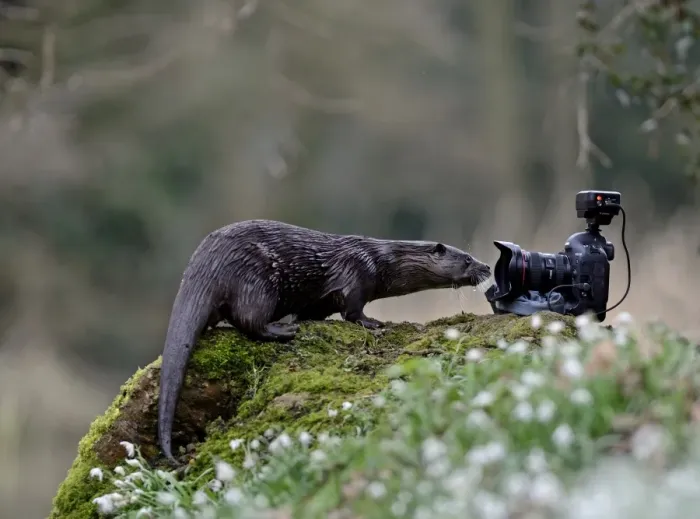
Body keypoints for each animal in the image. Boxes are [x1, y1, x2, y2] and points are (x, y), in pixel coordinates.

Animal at [157, 219, 491, 464]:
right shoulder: (357, 275)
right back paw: (282, 331)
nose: (487, 266)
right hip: (257, 281)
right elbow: (352, 310)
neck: (382, 261)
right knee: (248, 318)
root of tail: (206, 263)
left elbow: (314, 311)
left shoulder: (321, 300)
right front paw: (373, 323)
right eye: (467, 258)